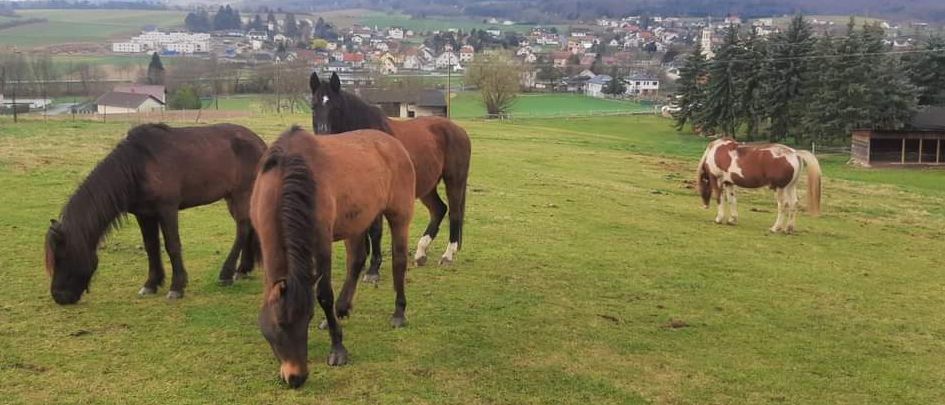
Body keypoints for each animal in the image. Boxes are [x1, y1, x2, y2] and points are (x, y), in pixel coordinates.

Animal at [45, 123, 266, 304]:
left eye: (63, 256)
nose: (58, 296)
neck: (137, 166)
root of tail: (260, 143)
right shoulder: (144, 214)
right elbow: (151, 247)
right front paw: (151, 284)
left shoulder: (167, 209)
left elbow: (172, 246)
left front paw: (177, 287)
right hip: (233, 197)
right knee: (248, 226)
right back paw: (243, 269)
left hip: (241, 194)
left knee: (242, 229)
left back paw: (226, 274)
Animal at [250, 126, 415, 388]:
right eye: (279, 324)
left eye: (306, 318)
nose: (297, 377)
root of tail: (393, 144)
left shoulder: (321, 243)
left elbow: (324, 295)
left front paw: (337, 349)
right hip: (356, 222)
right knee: (356, 261)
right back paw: (342, 309)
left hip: (399, 214)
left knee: (398, 261)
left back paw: (398, 313)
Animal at [309, 72, 471, 284]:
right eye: (313, 106)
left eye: (335, 107)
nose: (323, 137)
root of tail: (458, 130)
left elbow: (375, 230)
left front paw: (373, 270)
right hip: (426, 186)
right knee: (439, 209)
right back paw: (420, 253)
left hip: (454, 180)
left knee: (454, 213)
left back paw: (447, 255)